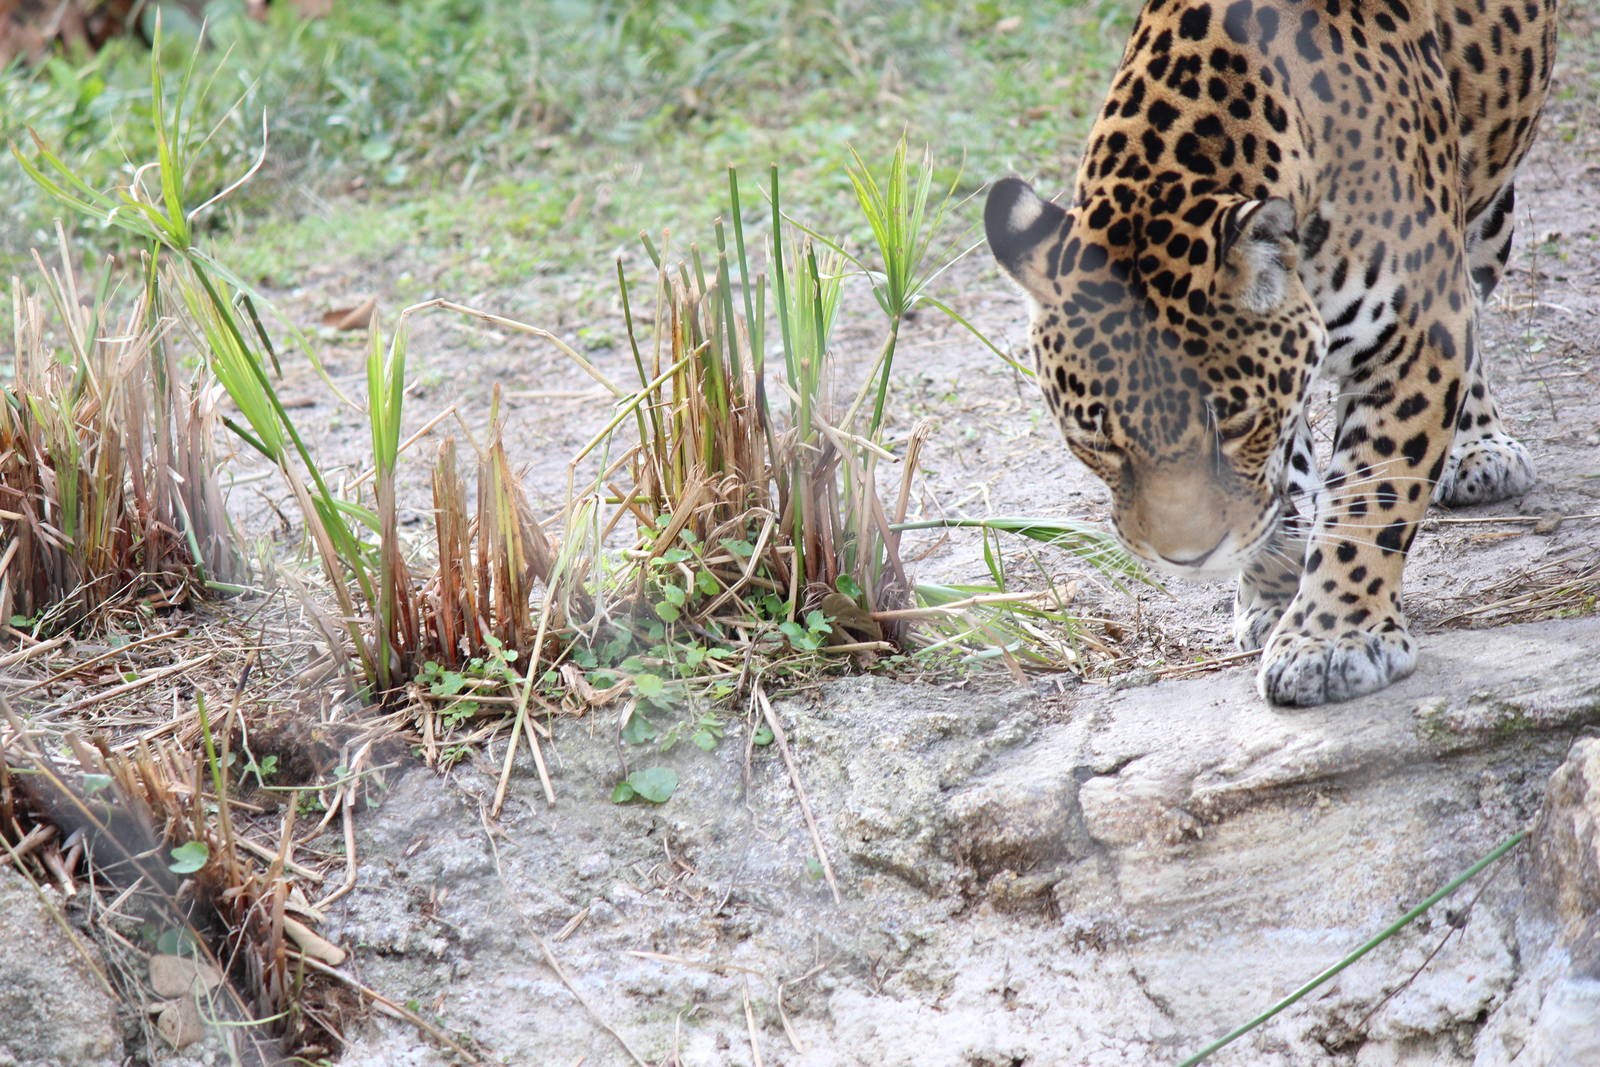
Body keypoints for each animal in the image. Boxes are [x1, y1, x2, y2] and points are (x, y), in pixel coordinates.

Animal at [984, 0, 1558, 706]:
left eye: (1233, 425)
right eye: (1097, 440)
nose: (1186, 559)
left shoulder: (1417, 332)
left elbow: (1370, 496)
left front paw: (1332, 637)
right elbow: (1285, 483)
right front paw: (1272, 593)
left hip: (1486, 219)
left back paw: (1481, 447)